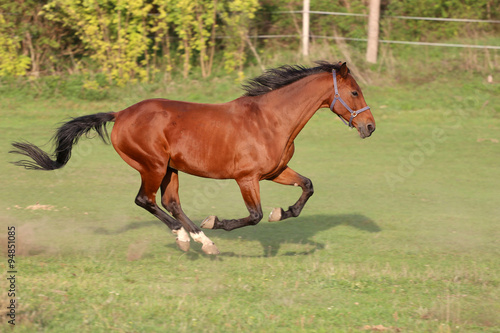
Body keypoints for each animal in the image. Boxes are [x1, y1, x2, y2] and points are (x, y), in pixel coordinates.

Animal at [9, 61, 376, 254]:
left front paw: (282, 213)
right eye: (355, 92)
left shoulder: (276, 170)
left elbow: (307, 186)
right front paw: (219, 222)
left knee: (170, 202)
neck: (270, 120)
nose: (370, 127)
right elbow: (254, 216)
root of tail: (121, 114)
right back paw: (190, 237)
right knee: (146, 200)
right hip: (153, 166)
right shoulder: (247, 178)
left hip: (171, 169)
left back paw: (202, 240)